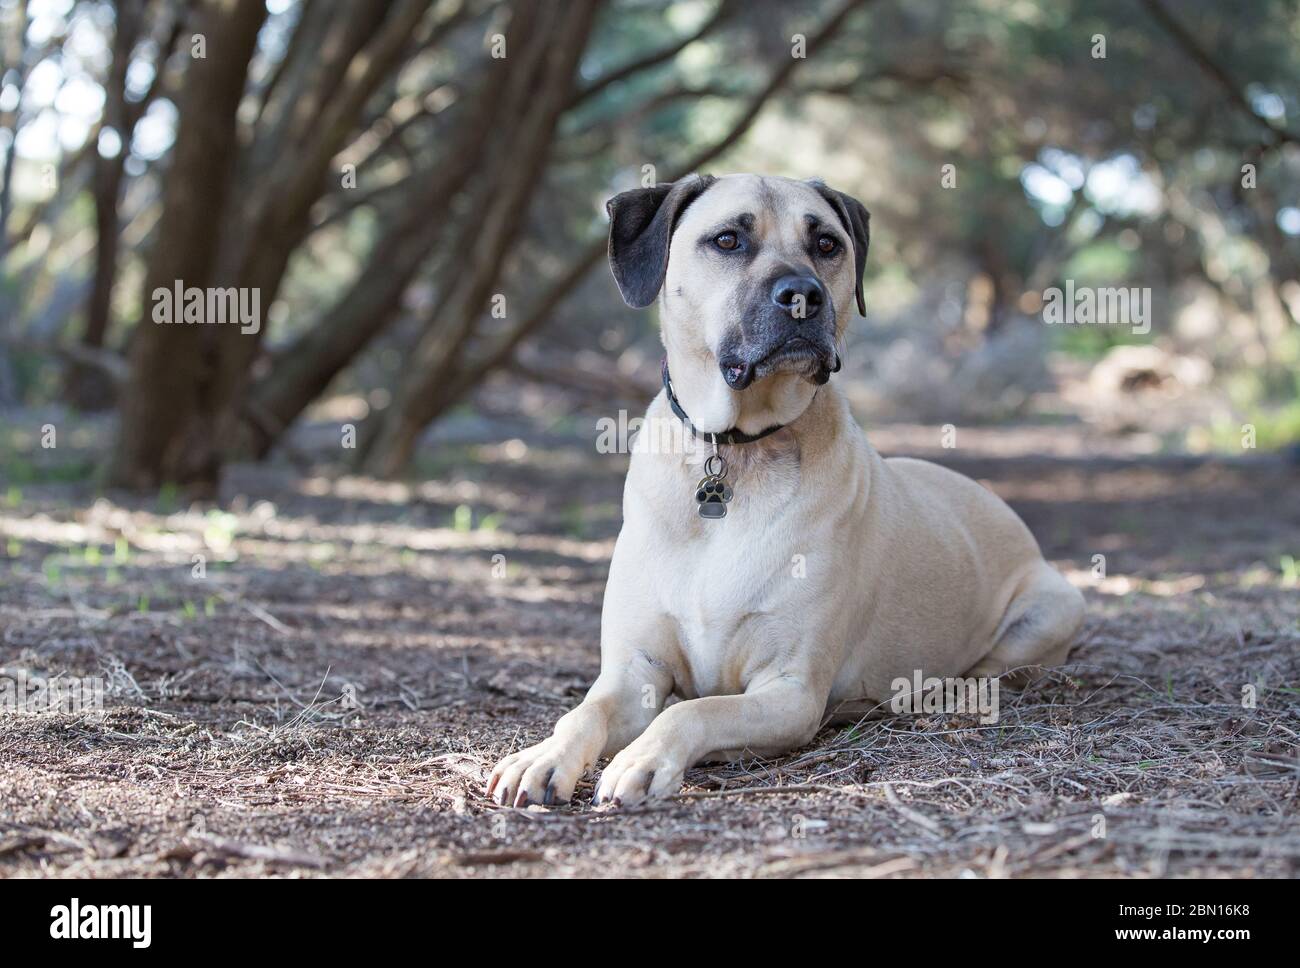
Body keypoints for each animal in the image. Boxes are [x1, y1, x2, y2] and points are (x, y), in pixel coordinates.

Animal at [483, 174, 1081, 805]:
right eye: (727, 239)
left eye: (826, 244)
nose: (802, 296)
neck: (736, 448)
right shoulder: (634, 669)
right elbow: (583, 712)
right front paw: (542, 758)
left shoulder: (789, 690)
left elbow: (694, 711)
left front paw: (643, 759)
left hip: (1055, 607)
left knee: (990, 671)